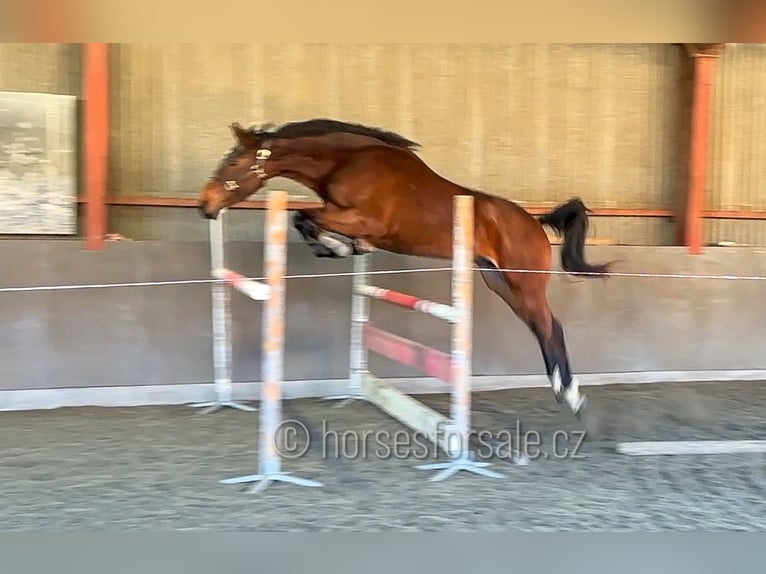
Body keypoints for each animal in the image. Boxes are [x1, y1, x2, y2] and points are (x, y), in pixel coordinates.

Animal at [198, 118, 612, 418]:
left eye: (232, 161)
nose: (205, 205)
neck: (348, 162)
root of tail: (535, 222)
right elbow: (304, 218)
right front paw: (341, 247)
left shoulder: (363, 219)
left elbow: (304, 216)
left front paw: (336, 246)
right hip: (499, 282)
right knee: (541, 328)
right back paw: (562, 390)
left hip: (523, 283)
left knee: (551, 326)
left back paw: (572, 395)